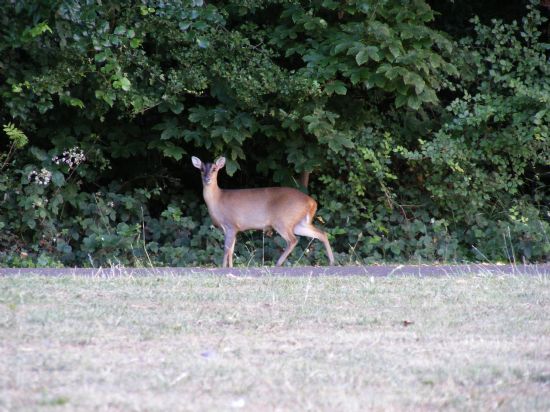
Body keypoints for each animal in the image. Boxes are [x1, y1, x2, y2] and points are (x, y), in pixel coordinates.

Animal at [193, 155, 336, 268]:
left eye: (214, 169)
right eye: (201, 169)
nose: (207, 179)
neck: (218, 199)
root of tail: (312, 202)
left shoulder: (231, 225)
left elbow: (226, 249)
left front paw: (223, 267)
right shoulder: (232, 228)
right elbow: (231, 250)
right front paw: (231, 267)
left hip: (283, 221)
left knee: (293, 240)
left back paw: (278, 263)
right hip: (299, 223)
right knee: (322, 233)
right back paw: (331, 262)